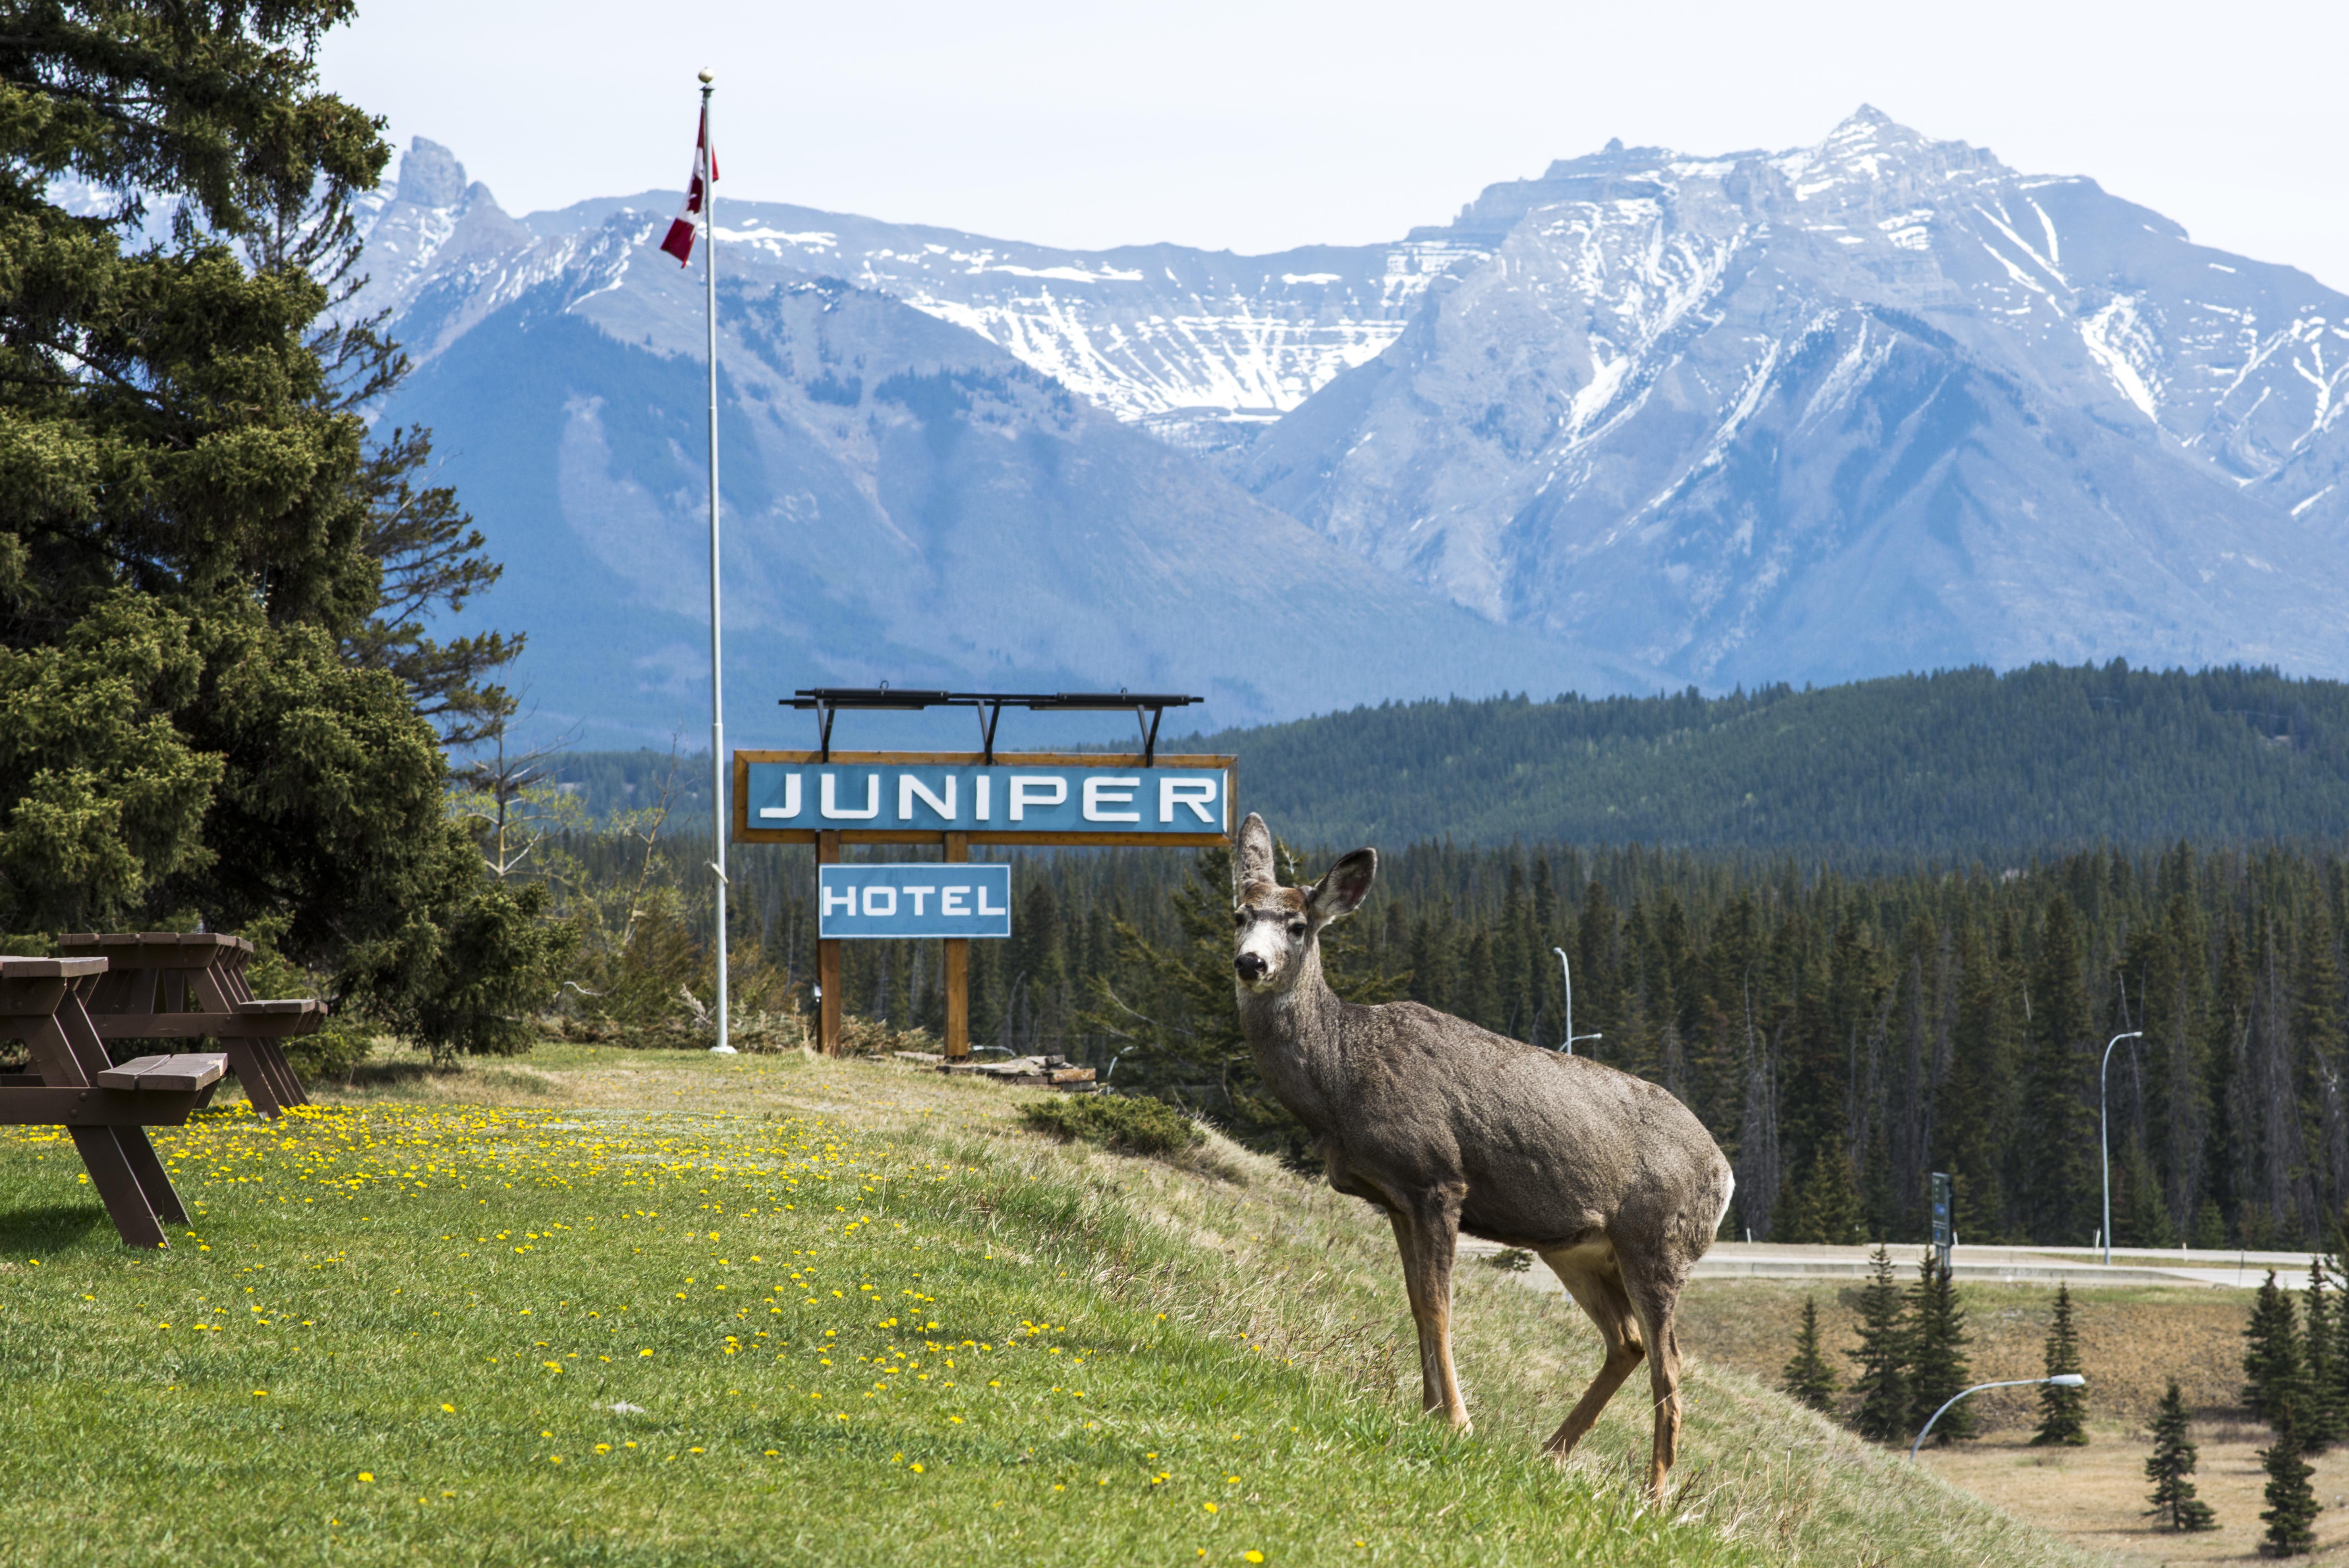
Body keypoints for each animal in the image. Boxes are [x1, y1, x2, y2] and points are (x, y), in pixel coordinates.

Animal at [1240, 818, 1738, 1504]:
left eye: (1296, 925)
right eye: (1238, 915)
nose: (1249, 962)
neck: (1339, 1078)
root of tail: (1724, 1173)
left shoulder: (1437, 1179)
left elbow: (1440, 1304)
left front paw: (1456, 1420)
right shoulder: (1394, 1199)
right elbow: (1416, 1302)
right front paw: (1426, 1411)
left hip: (1655, 1245)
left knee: (1668, 1361)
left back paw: (1654, 1493)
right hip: (1577, 1250)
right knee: (1627, 1343)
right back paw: (1550, 1452)